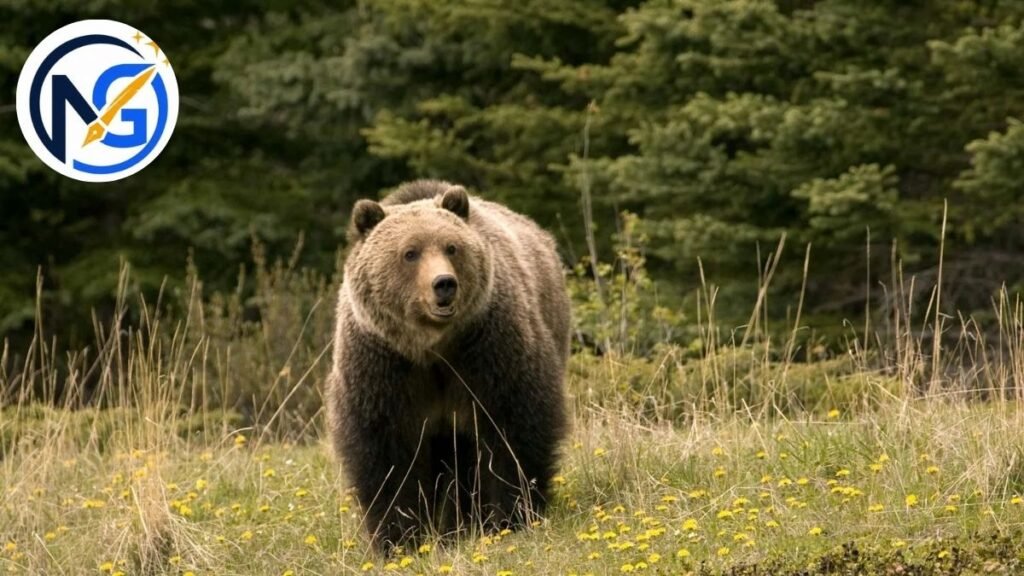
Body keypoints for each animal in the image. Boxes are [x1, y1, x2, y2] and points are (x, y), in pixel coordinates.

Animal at [326, 180, 570, 550]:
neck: (432, 347)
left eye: (451, 247)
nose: (444, 283)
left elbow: (512, 428)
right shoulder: (383, 365)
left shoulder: (487, 349)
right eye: (410, 252)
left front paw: (509, 517)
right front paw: (399, 537)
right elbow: (386, 452)